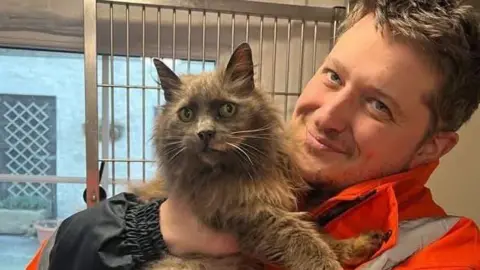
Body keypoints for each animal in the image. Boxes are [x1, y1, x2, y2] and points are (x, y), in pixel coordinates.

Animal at [132, 42, 386, 270]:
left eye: (227, 109)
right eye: (186, 114)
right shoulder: (252, 215)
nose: (204, 133)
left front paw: (359, 244)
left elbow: (320, 233)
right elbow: (306, 241)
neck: (246, 171)